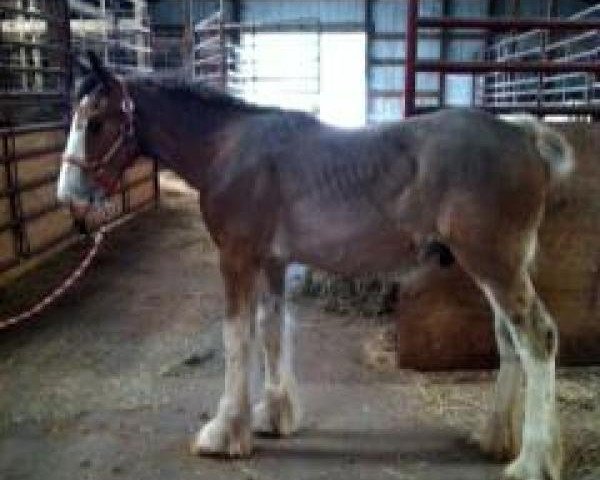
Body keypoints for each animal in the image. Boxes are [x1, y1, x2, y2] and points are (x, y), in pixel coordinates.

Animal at [58, 52, 576, 480]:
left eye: (96, 122)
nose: (68, 194)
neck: (228, 149)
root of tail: (524, 133)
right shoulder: (272, 261)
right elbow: (271, 330)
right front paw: (273, 415)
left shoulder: (236, 258)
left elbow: (236, 337)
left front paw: (224, 431)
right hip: (495, 271)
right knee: (509, 340)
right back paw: (497, 439)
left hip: (495, 266)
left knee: (537, 338)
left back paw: (532, 461)